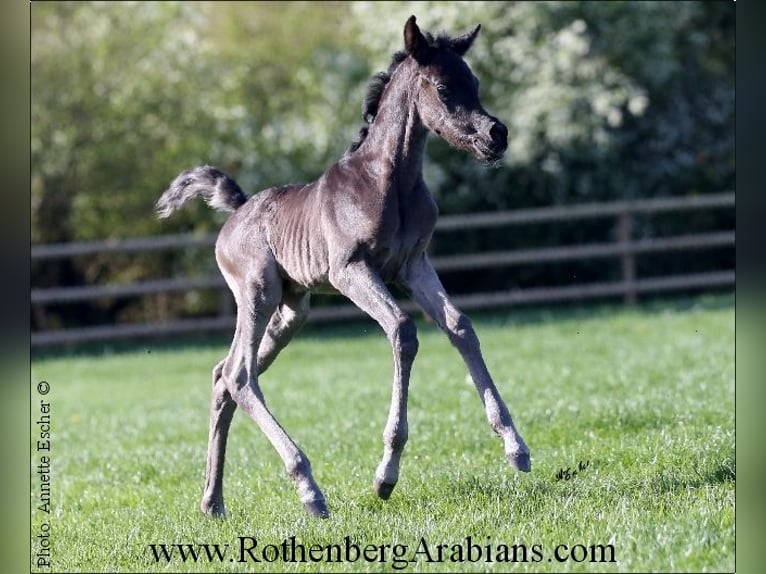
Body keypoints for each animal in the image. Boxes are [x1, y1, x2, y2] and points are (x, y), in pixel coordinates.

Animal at [156, 14, 528, 520]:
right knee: (240, 375)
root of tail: (238, 207)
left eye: (475, 84)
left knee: (222, 376)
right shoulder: (350, 270)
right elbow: (403, 331)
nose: (497, 135)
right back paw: (309, 490)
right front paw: (385, 475)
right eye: (444, 88)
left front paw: (516, 447)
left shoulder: (414, 265)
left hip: (292, 309)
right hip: (257, 292)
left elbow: (460, 326)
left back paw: (213, 502)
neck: (390, 183)